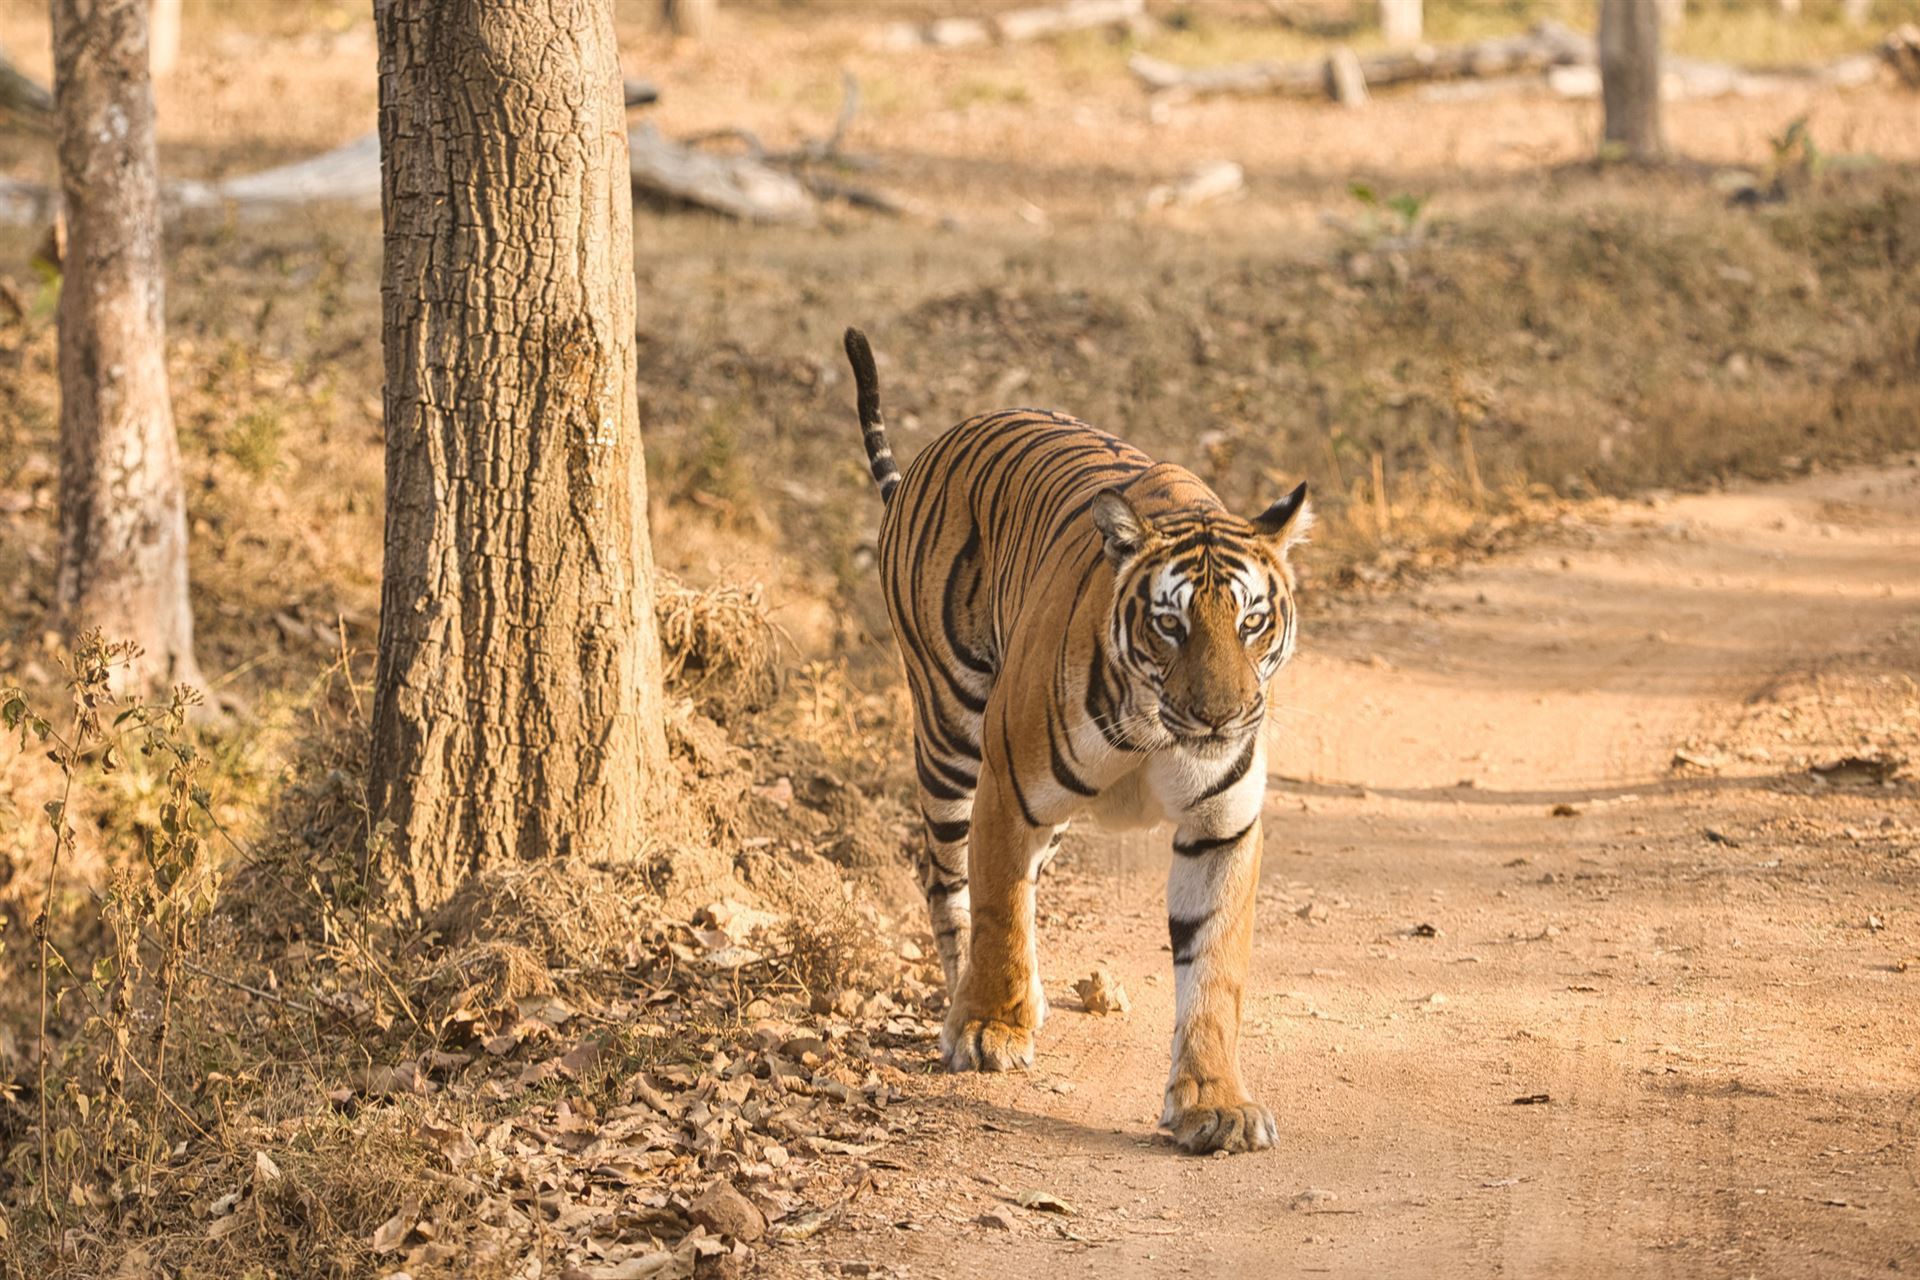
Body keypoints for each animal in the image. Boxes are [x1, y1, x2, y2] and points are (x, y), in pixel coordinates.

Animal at [842, 328, 1311, 1155]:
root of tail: (935, 450)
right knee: (946, 879)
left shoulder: (1221, 826)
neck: (1158, 728)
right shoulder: (1007, 789)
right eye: (1171, 624)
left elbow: (1214, 966)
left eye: (1252, 621)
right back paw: (967, 1006)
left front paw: (1213, 1103)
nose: (1221, 719)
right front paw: (989, 1030)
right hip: (950, 732)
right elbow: (998, 905)